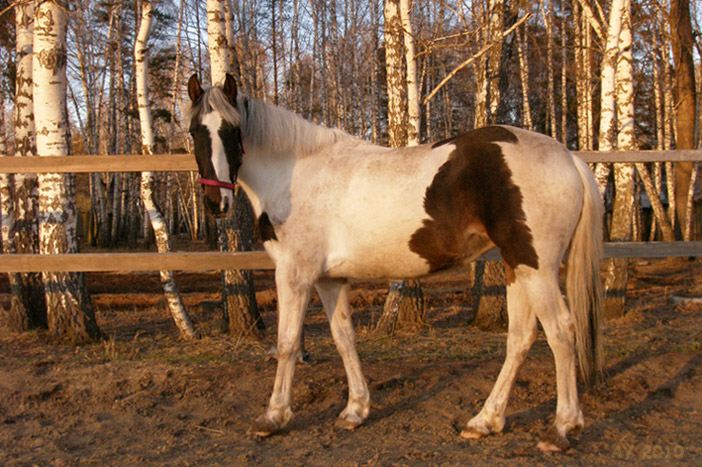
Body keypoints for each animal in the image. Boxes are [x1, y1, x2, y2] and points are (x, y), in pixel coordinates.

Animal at [187, 74, 604, 454]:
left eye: (232, 130)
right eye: (194, 131)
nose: (215, 202)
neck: (295, 175)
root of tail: (569, 158)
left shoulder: (294, 274)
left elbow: (287, 343)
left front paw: (273, 416)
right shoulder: (329, 280)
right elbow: (344, 338)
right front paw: (355, 410)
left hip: (536, 268)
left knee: (561, 333)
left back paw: (561, 428)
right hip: (518, 267)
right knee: (520, 339)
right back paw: (485, 421)